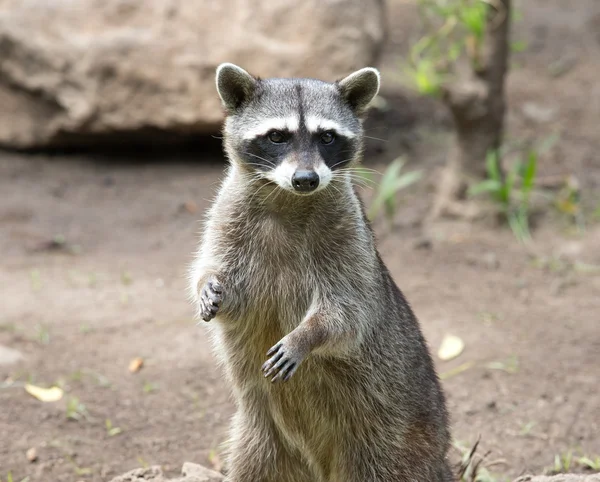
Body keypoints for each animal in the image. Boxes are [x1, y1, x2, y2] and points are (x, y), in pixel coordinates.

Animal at [190, 62, 452, 480]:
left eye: (327, 137)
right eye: (276, 136)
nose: (306, 179)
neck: (287, 198)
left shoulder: (350, 238)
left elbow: (348, 313)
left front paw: (307, 335)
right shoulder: (228, 217)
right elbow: (219, 276)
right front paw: (208, 285)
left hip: (393, 441)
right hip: (261, 435)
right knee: (254, 462)